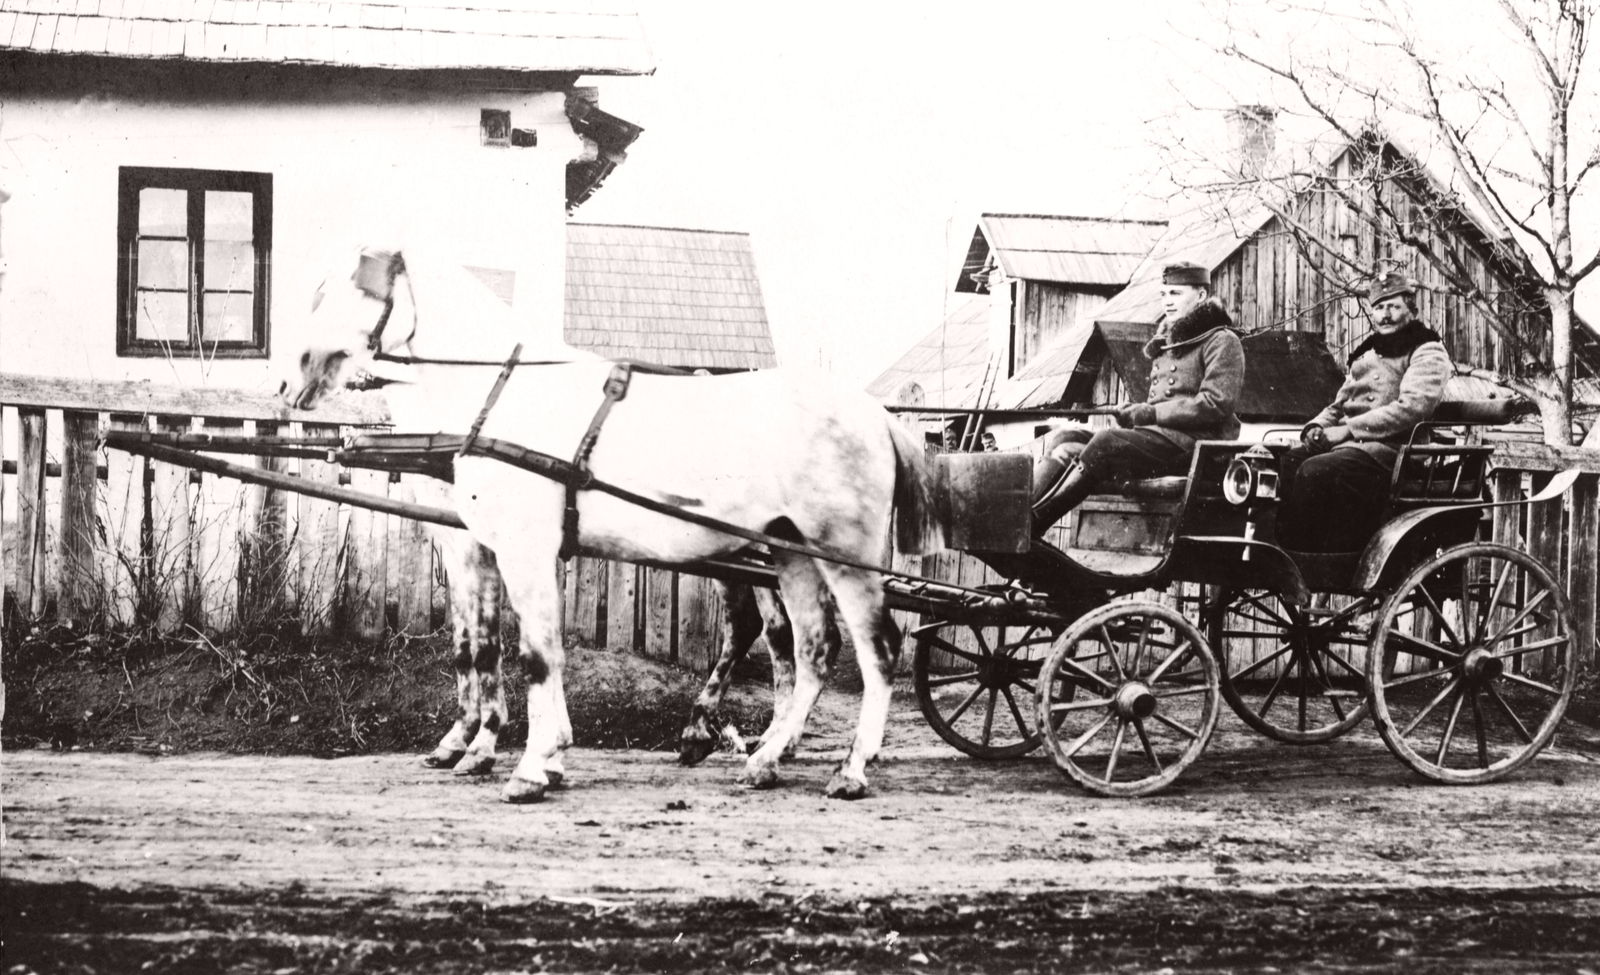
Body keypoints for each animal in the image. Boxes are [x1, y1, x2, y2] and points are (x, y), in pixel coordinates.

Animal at [284, 244, 934, 797]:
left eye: (342, 290)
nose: (290, 380)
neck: (502, 397)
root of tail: (876, 415)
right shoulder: (485, 548)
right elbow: (482, 644)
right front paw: (495, 751)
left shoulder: (521, 549)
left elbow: (535, 654)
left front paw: (529, 765)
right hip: (789, 552)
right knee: (812, 647)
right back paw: (765, 758)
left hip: (841, 557)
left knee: (874, 646)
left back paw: (849, 768)